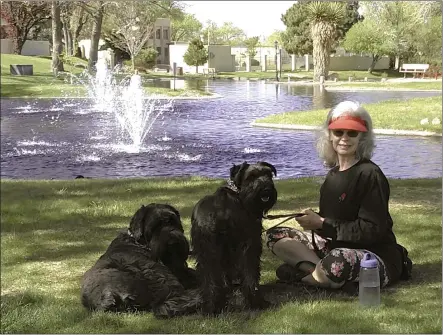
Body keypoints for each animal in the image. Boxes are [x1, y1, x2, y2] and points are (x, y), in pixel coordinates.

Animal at [190, 161, 278, 316]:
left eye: (268, 174)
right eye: (251, 177)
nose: (266, 189)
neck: (239, 194)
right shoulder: (250, 243)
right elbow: (250, 273)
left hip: (206, 253)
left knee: (209, 280)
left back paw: (211, 307)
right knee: (249, 276)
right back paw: (257, 302)